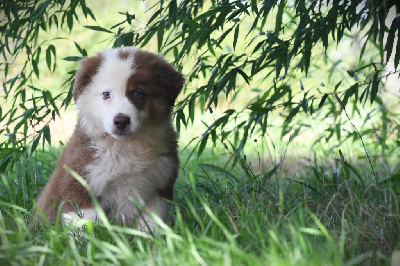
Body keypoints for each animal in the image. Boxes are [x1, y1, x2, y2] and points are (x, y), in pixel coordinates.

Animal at [36, 46, 184, 229]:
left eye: (138, 94)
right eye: (106, 94)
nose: (121, 121)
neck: (126, 146)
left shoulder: (158, 188)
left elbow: (151, 225)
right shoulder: (80, 183)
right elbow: (85, 225)